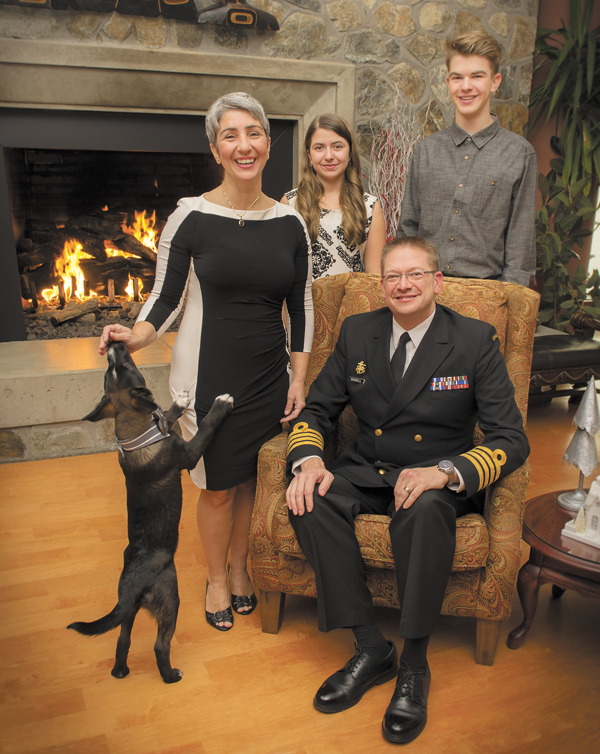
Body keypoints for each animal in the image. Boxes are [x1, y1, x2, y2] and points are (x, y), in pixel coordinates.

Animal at [67, 340, 233, 680]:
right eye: (122, 367)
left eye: (114, 370)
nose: (114, 344)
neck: (136, 433)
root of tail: (134, 584)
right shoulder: (190, 453)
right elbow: (205, 428)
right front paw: (220, 405)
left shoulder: (163, 426)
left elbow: (165, 415)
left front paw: (179, 402)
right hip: (170, 599)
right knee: (160, 645)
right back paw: (170, 676)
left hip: (128, 612)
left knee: (123, 639)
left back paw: (120, 672)